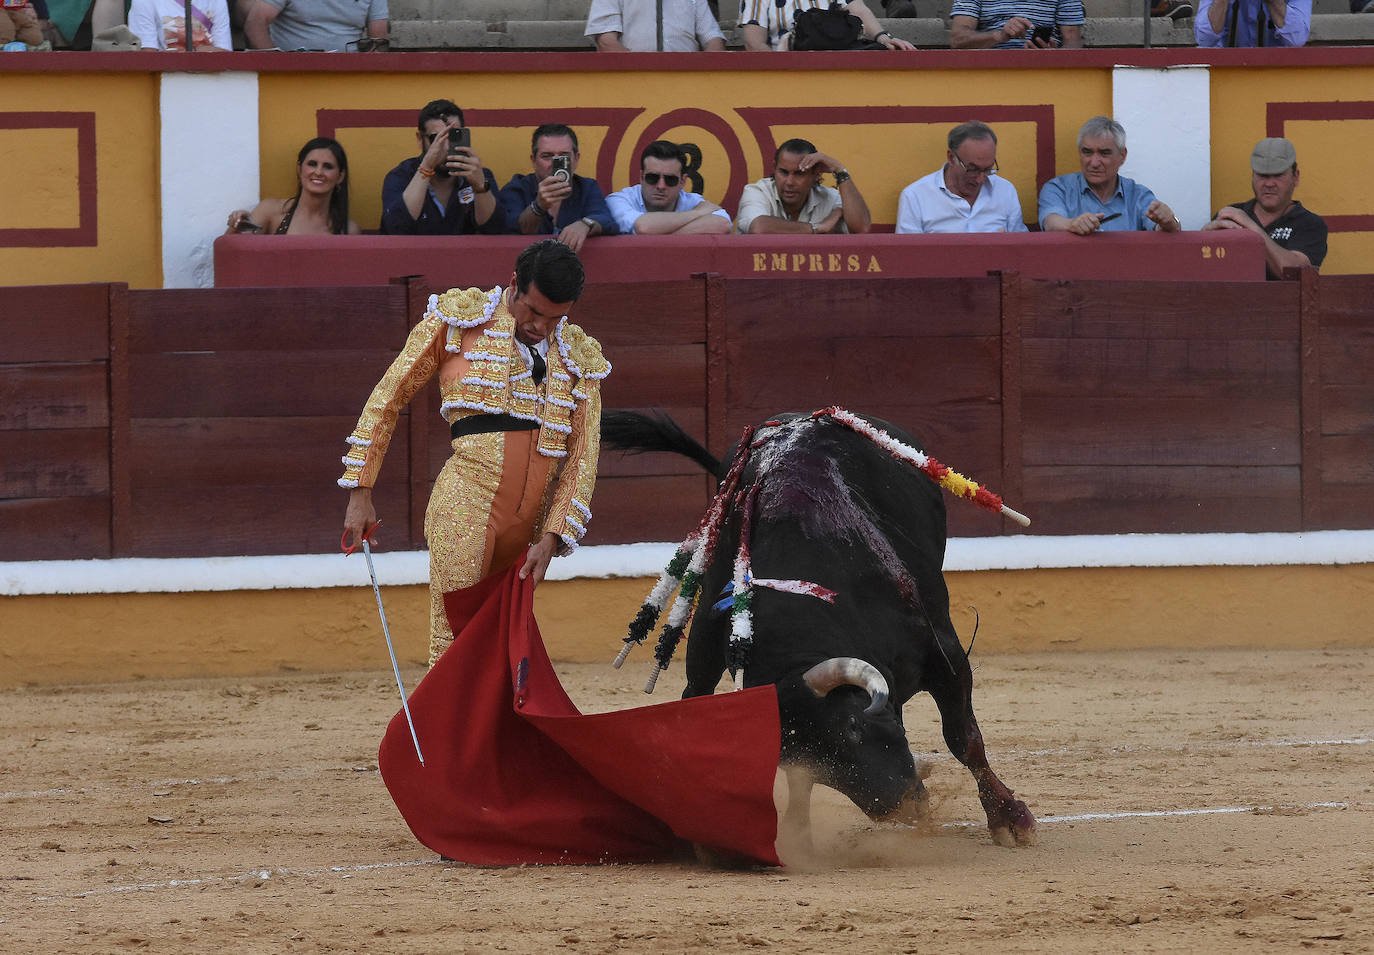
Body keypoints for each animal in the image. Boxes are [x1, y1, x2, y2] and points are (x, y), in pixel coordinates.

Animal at [607, 409, 1033, 846]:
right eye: (815, 764)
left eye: (854, 728)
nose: (902, 806)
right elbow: (800, 785)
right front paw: (797, 834)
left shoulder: (944, 654)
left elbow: (963, 738)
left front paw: (1009, 818)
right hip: (704, 634)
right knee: (696, 689)